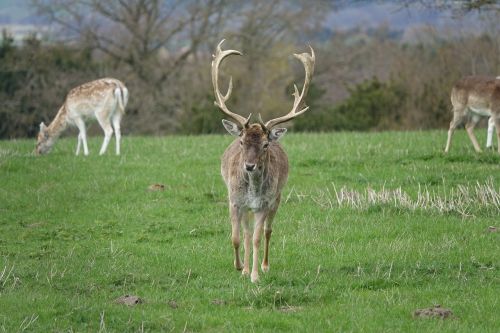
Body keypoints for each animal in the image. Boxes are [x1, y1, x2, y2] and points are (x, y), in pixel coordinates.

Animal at [212, 40, 316, 282]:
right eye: (241, 142)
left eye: (265, 144)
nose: (249, 166)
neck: (252, 191)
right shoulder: (235, 201)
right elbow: (237, 237)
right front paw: (240, 267)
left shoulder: (263, 205)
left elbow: (258, 238)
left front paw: (255, 276)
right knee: (246, 233)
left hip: (276, 199)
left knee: (268, 231)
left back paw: (265, 266)